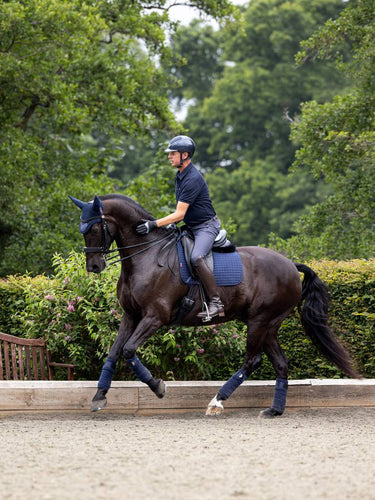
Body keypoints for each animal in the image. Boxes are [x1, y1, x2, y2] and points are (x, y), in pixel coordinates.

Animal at [70, 193, 362, 416]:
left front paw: (158, 386)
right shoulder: (130, 315)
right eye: (82, 230)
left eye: (94, 228)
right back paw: (274, 410)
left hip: (260, 321)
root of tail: (291, 265)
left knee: (252, 360)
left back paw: (217, 401)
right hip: (269, 325)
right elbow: (114, 352)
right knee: (280, 363)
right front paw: (99, 396)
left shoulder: (155, 317)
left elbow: (129, 351)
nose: (94, 266)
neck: (147, 257)